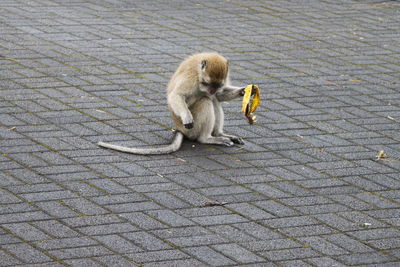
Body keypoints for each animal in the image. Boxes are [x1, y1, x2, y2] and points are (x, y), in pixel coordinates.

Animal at [97, 52, 247, 155]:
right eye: (207, 83)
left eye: (217, 85)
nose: (211, 90)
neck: (199, 72)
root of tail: (179, 129)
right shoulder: (190, 78)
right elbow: (176, 96)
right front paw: (186, 116)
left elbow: (219, 96)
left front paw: (244, 91)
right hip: (192, 129)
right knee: (206, 100)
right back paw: (207, 138)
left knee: (213, 99)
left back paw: (219, 134)